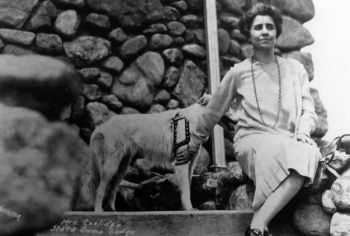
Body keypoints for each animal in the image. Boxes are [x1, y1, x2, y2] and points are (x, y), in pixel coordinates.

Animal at [89, 100, 235, 211]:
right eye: (228, 106)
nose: (237, 118)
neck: (195, 119)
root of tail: (103, 125)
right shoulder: (181, 164)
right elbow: (186, 191)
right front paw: (189, 209)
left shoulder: (190, 165)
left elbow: (187, 188)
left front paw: (185, 208)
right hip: (111, 167)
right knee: (100, 190)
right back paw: (98, 211)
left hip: (121, 168)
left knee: (112, 190)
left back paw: (113, 211)